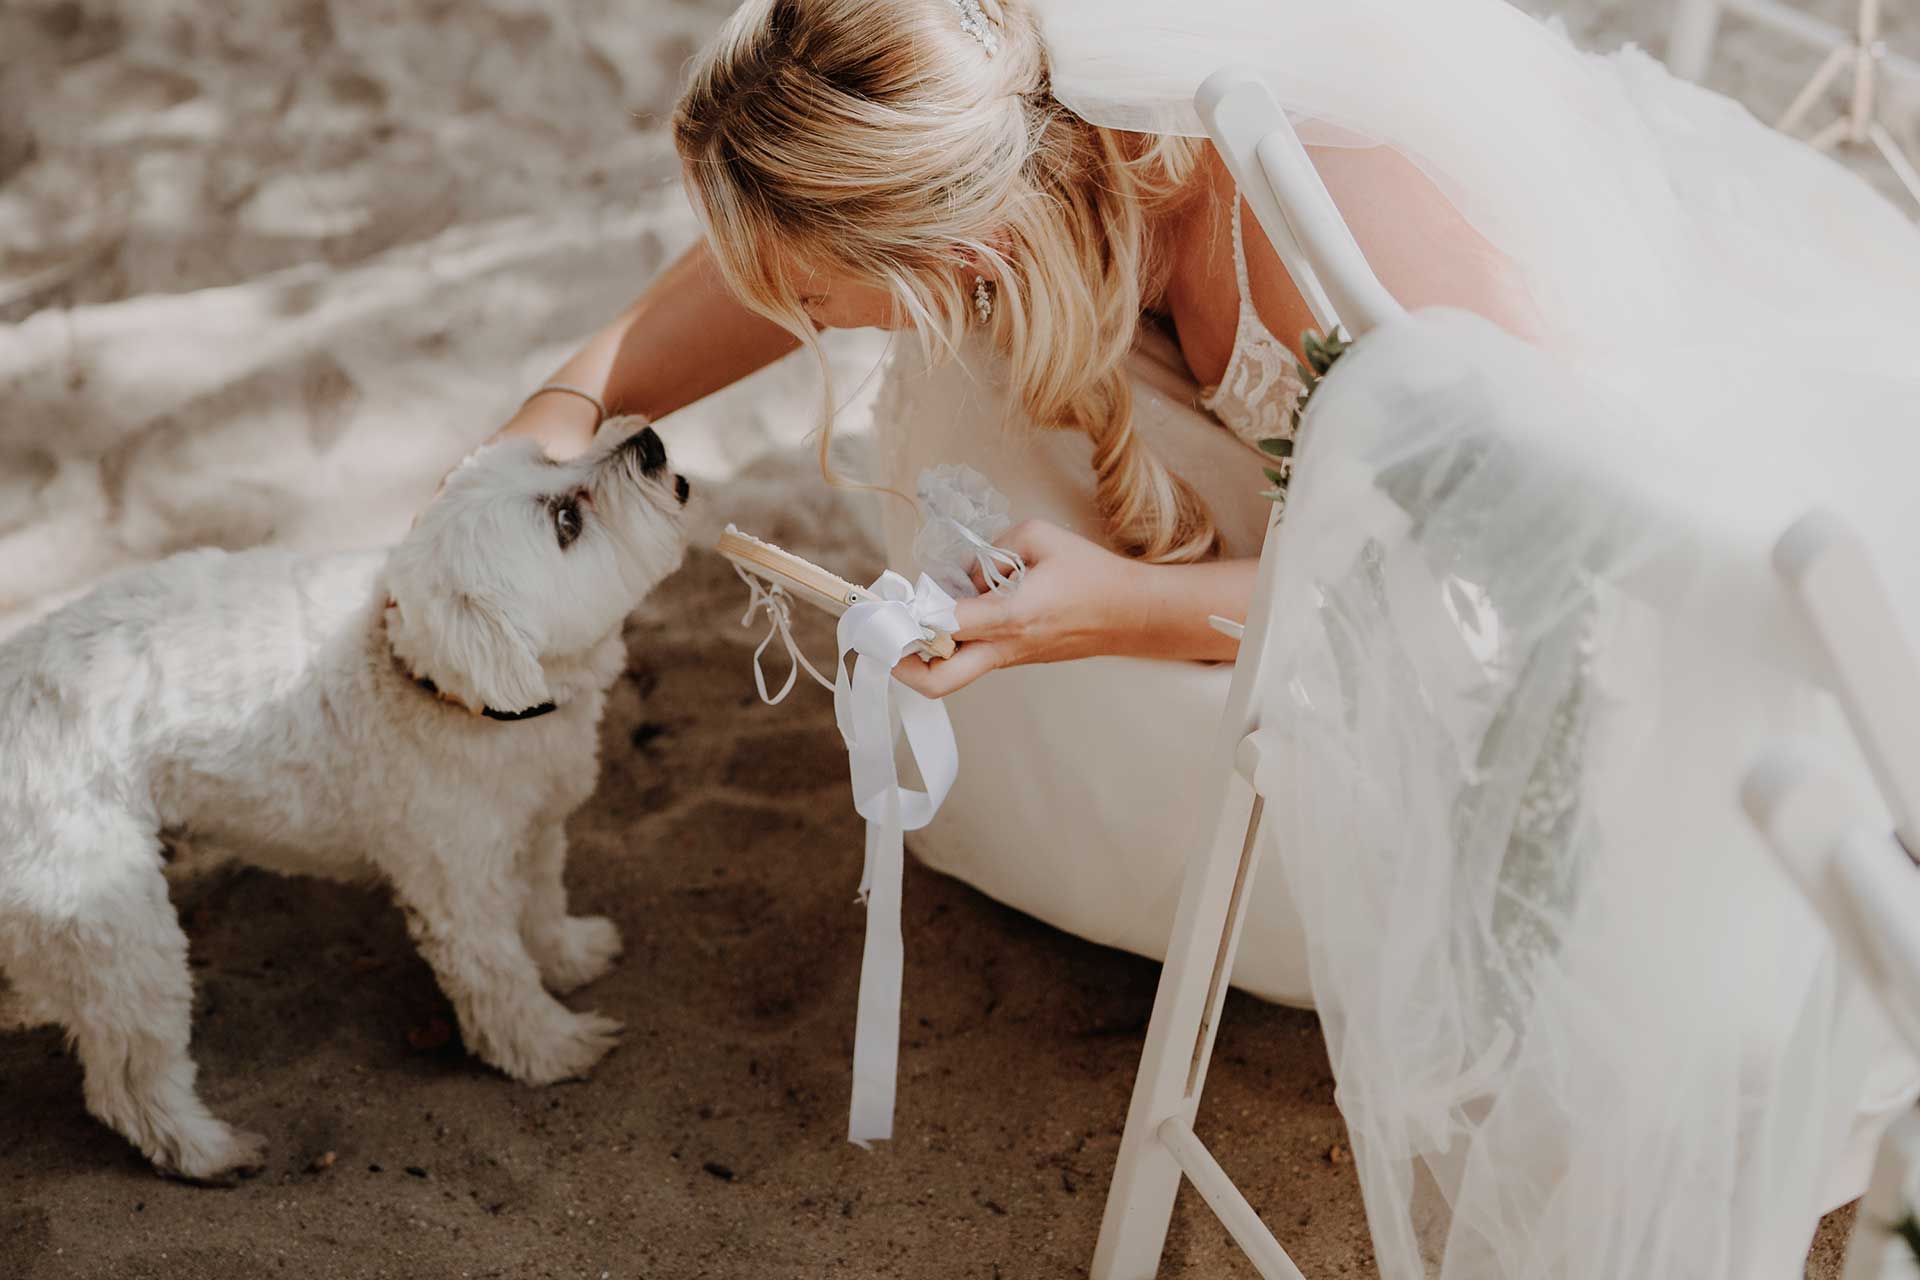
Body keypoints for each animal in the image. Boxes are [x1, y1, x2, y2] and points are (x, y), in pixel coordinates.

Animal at [0, 420, 691, 1182]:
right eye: (567, 522)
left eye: (549, 455)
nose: (650, 439)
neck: (433, 681)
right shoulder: (459, 891)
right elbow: (500, 976)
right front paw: (552, 1047)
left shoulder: (532, 832)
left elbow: (541, 907)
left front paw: (569, 957)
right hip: (114, 929)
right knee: (127, 1079)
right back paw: (206, 1150)